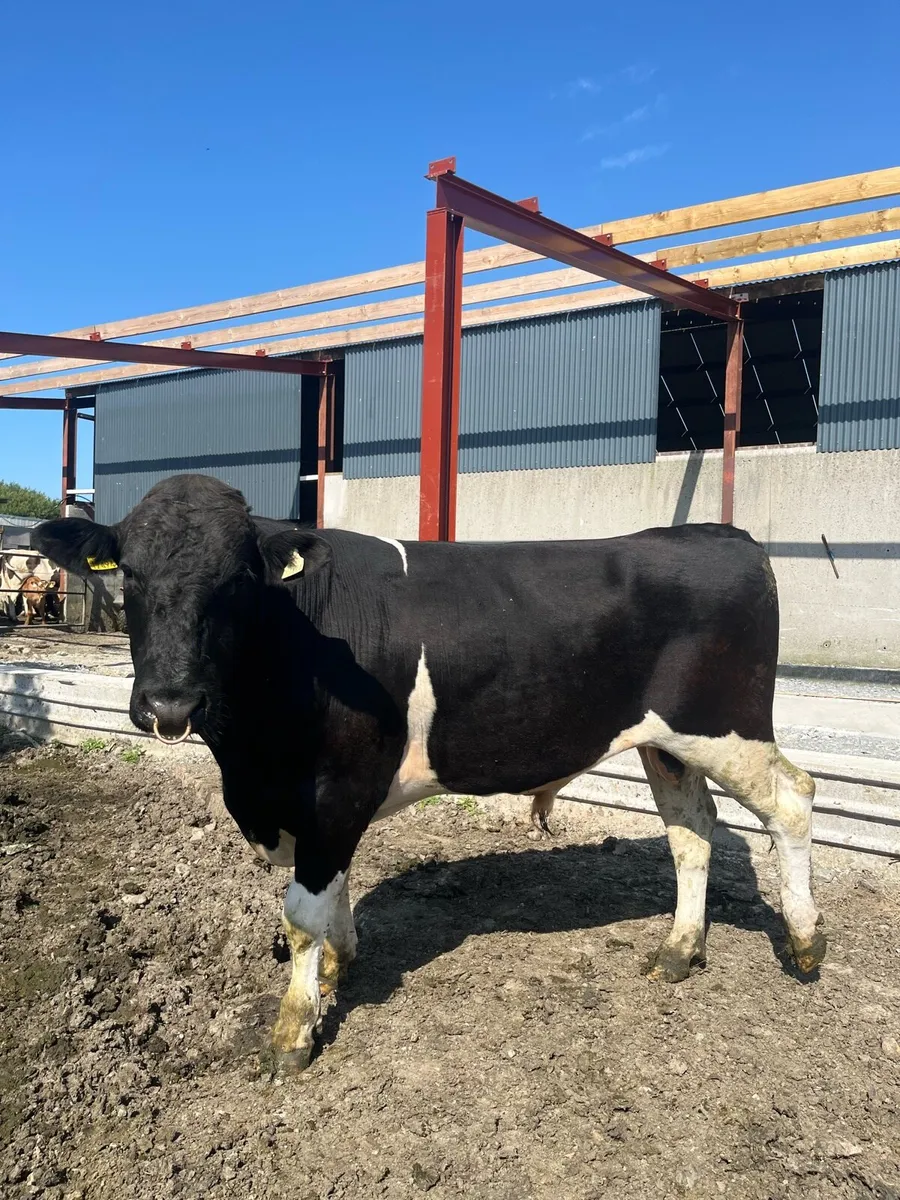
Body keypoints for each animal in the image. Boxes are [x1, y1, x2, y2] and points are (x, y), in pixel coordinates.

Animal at [34, 474, 825, 1072]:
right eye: (130, 575)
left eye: (235, 581)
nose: (170, 702)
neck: (251, 758)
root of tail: (718, 535)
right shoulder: (309, 801)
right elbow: (332, 893)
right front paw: (337, 965)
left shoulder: (335, 788)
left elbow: (301, 915)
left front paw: (294, 1031)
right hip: (666, 741)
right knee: (691, 831)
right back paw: (680, 950)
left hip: (728, 727)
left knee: (792, 801)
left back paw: (806, 943)